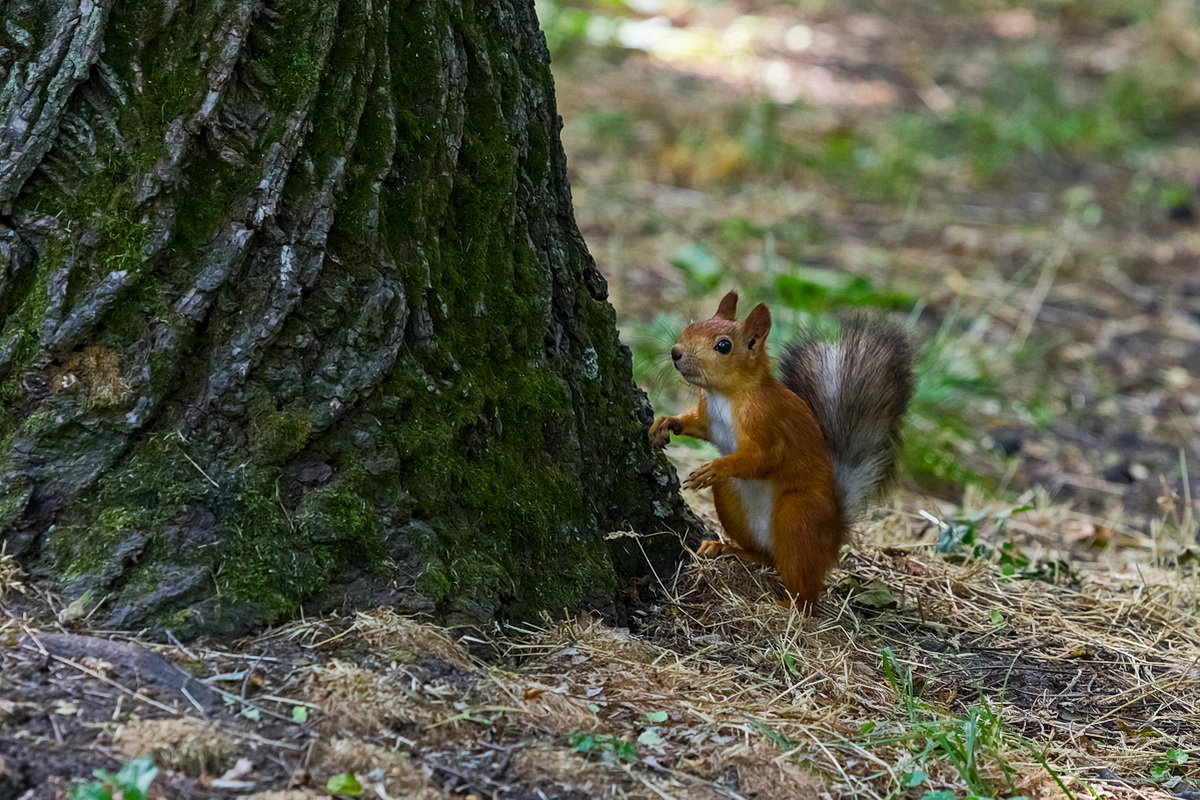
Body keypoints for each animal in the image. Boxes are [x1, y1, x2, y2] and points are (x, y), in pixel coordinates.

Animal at [652, 291, 912, 609]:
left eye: (723, 346)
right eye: (693, 324)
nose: (675, 352)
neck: (725, 395)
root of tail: (834, 533)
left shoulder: (769, 424)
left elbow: (765, 459)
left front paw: (714, 467)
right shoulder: (708, 419)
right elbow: (696, 425)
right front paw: (665, 422)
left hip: (797, 515)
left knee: (805, 590)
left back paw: (785, 605)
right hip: (732, 502)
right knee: (768, 556)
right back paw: (725, 549)